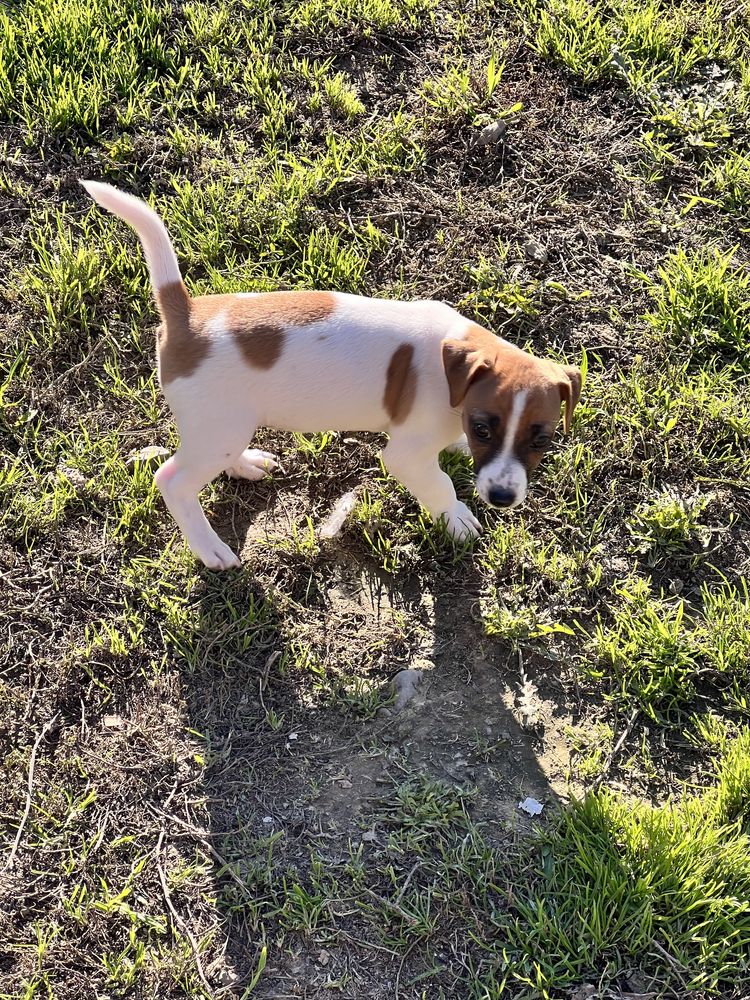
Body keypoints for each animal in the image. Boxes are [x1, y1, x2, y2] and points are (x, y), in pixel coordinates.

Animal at [85, 182, 584, 572]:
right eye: (483, 428)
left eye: (541, 438)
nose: (501, 496)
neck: (452, 371)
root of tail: (186, 316)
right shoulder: (406, 456)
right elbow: (439, 485)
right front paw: (457, 518)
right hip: (216, 429)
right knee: (172, 479)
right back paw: (210, 548)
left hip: (222, 427)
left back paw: (246, 464)